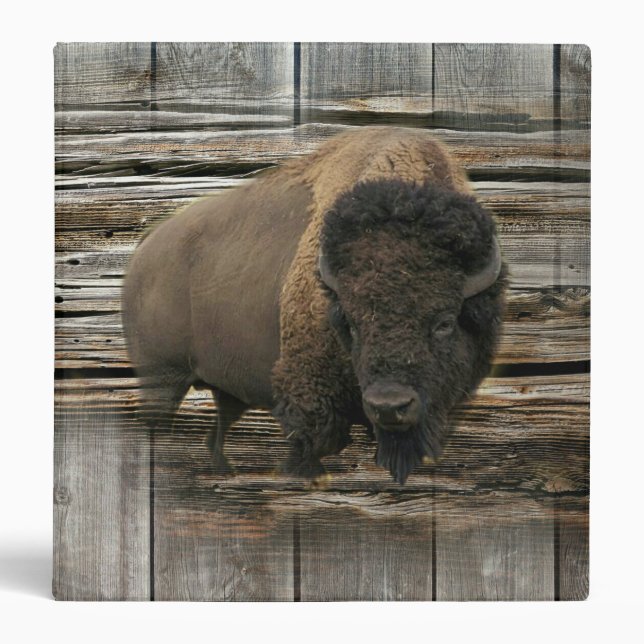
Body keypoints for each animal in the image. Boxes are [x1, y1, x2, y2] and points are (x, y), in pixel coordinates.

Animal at [122, 126, 506, 484]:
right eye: (350, 323)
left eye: (444, 322)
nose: (389, 406)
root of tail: (145, 247)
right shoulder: (310, 397)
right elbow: (309, 446)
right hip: (161, 379)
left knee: (215, 434)